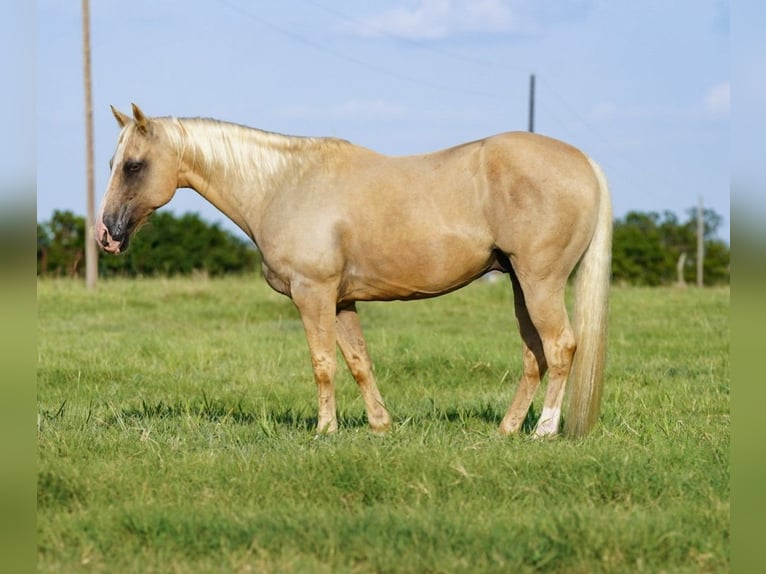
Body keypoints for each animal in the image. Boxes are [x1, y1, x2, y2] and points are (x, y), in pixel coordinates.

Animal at [96, 103, 612, 438]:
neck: (283, 185)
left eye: (134, 165)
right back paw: (506, 429)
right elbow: (359, 362)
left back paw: (544, 430)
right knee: (535, 355)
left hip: (540, 282)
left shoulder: (314, 294)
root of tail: (584, 162)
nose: (107, 234)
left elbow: (323, 364)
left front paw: (325, 430)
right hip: (521, 286)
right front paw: (380, 426)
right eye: (112, 162)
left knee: (561, 348)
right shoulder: (342, 300)